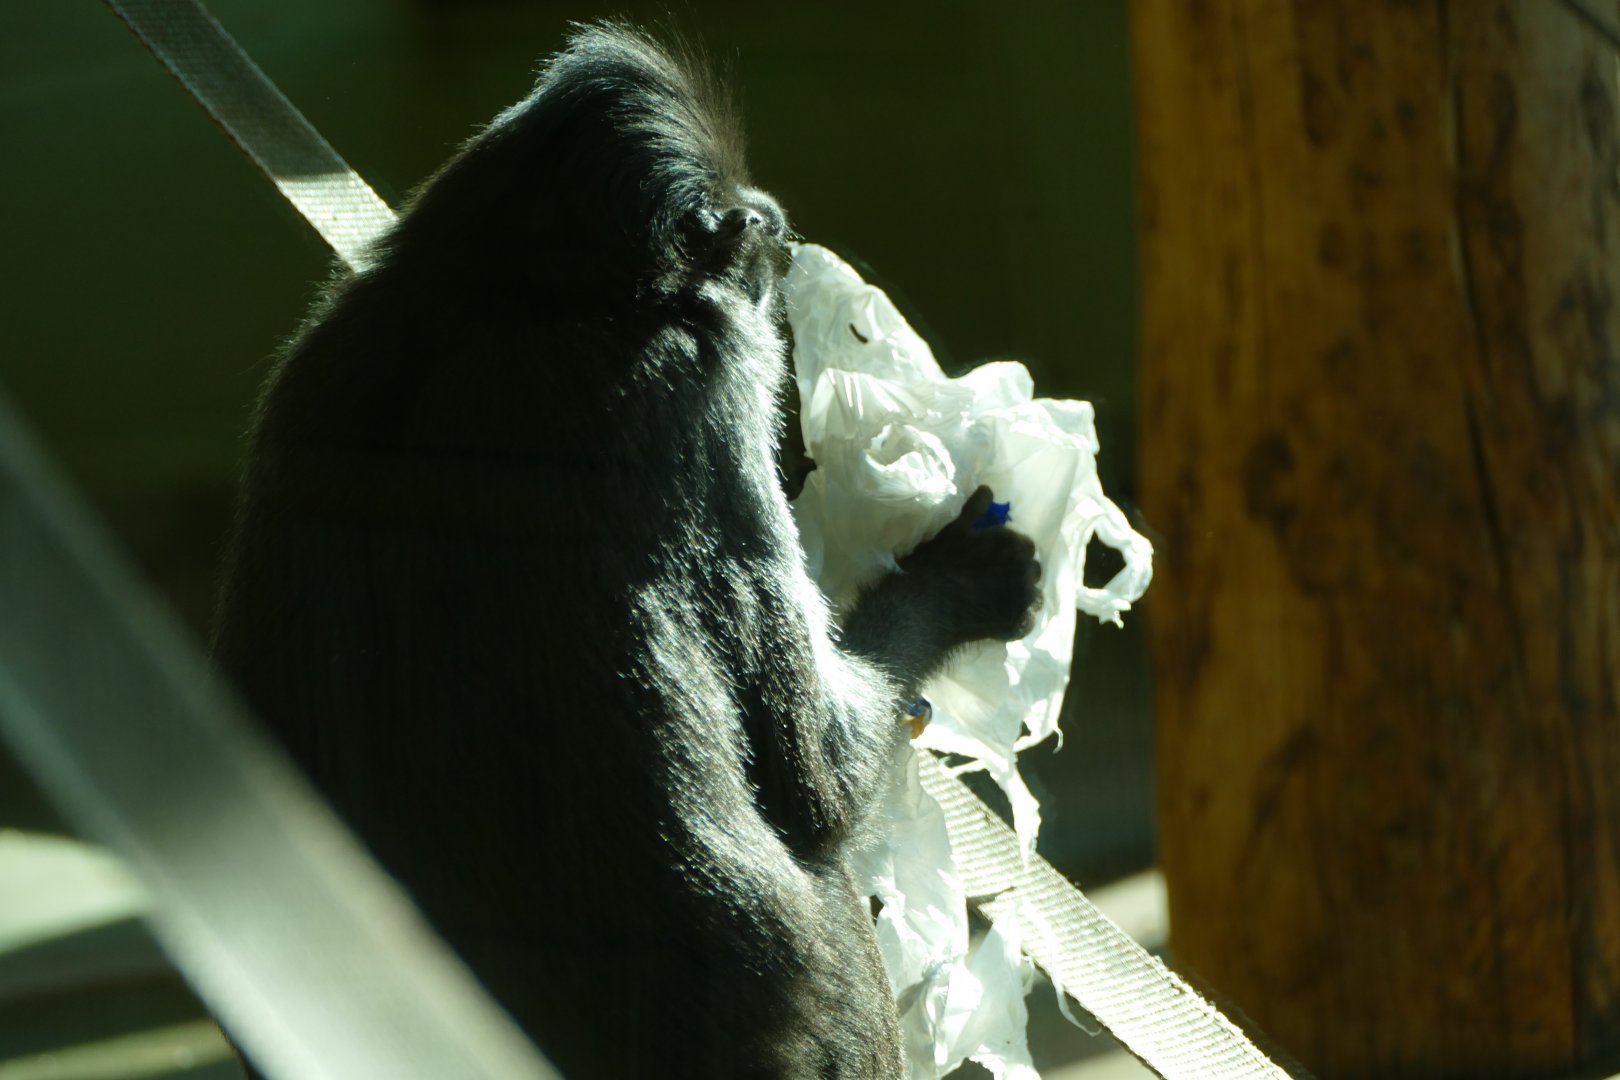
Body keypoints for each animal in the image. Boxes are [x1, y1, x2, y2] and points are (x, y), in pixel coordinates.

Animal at [211, 24, 1040, 1079]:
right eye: (754, 229)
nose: (781, 235)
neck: (514, 299)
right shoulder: (706, 383)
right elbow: (813, 775)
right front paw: (962, 582)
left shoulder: (327, 355)